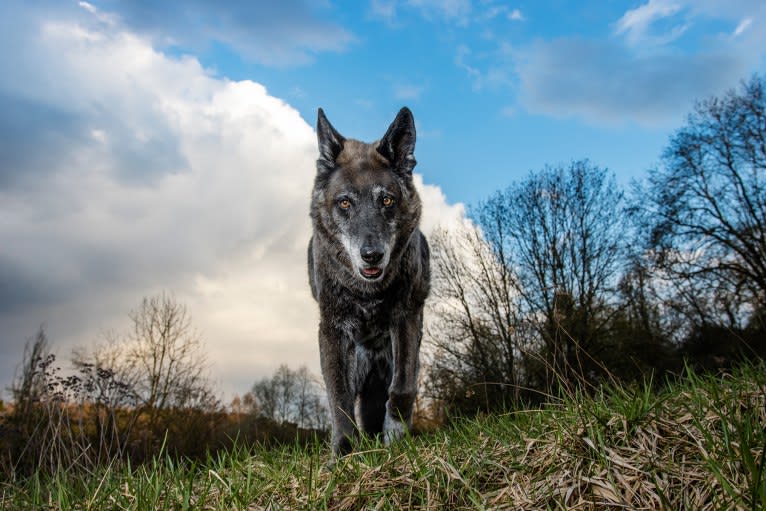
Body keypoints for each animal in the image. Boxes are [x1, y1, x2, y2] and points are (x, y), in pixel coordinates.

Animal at [310, 107, 432, 456]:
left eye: (387, 201)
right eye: (345, 203)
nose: (372, 256)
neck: (367, 294)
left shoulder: (406, 319)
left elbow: (403, 386)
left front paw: (397, 435)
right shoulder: (332, 331)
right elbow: (339, 399)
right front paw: (343, 452)